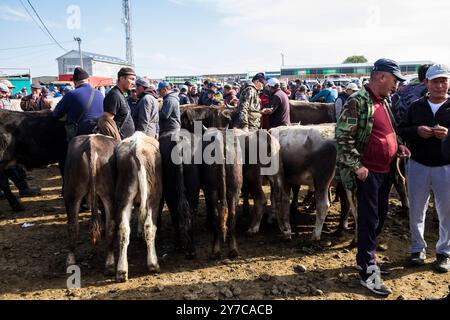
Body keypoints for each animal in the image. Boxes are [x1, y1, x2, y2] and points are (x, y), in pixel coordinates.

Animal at [65, 134, 118, 276]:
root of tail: (91, 145)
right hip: (109, 195)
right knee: (110, 226)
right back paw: (110, 264)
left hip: (72, 194)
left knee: (73, 227)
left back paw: (70, 260)